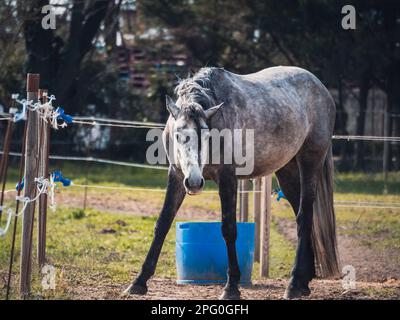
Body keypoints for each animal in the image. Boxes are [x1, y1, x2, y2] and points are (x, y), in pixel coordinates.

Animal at [126, 66, 340, 298]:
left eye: (206, 135)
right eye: (178, 134)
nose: (194, 183)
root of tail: (321, 89)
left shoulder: (228, 179)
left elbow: (229, 229)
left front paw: (232, 287)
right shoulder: (177, 176)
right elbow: (162, 224)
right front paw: (139, 281)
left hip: (310, 161)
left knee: (305, 217)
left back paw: (293, 284)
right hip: (288, 171)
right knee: (301, 215)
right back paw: (303, 282)